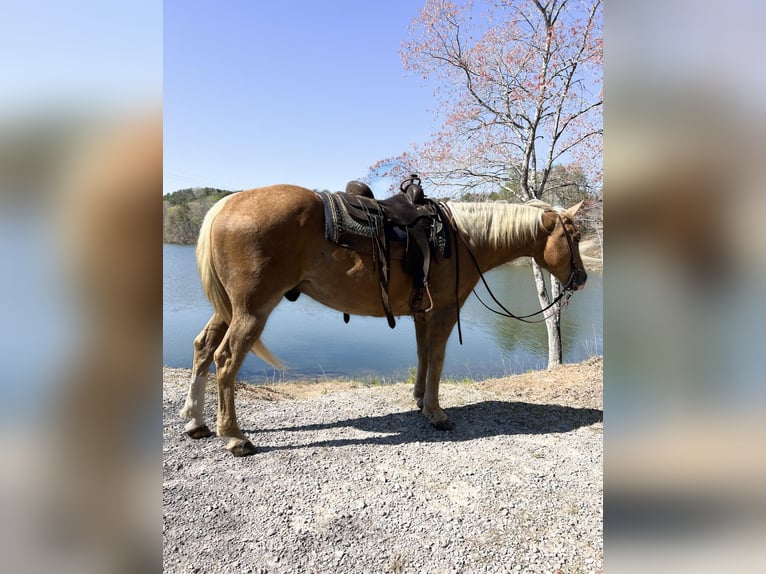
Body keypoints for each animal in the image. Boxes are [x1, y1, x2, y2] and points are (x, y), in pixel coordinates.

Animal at [180, 187, 588, 456]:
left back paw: (196, 421)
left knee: (203, 347)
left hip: (230, 309)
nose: (582, 279)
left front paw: (420, 400)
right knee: (225, 360)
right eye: (576, 235)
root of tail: (227, 203)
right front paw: (436, 413)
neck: (463, 239)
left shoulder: (422, 312)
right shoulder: (444, 310)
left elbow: (423, 355)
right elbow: (437, 358)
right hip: (252, 310)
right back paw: (234, 436)